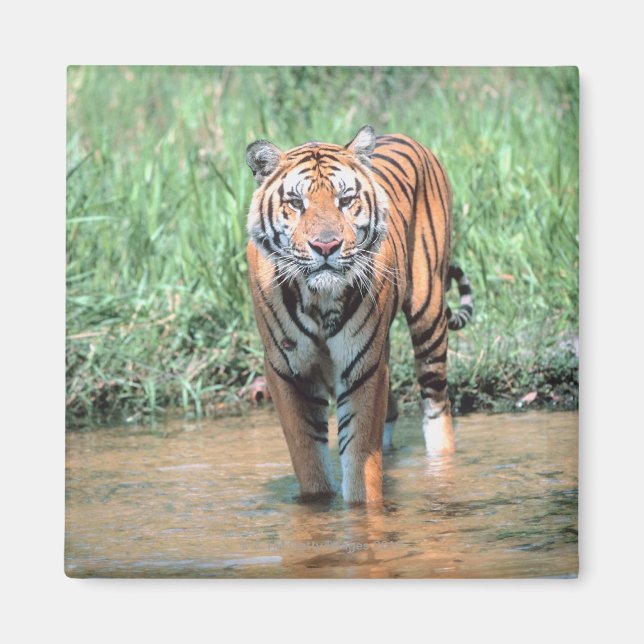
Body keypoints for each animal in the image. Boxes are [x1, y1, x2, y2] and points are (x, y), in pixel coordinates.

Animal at [245, 125, 472, 504]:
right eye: (296, 203)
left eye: (345, 199)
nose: (325, 246)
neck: (318, 298)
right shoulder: (287, 372)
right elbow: (309, 462)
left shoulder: (362, 369)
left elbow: (360, 464)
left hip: (428, 314)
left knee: (437, 403)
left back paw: (441, 469)